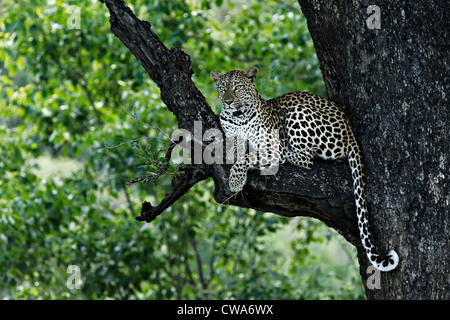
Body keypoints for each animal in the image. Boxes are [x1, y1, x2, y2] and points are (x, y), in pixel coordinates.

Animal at [213, 66, 400, 272]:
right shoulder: (232, 135)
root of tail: (350, 130)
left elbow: (247, 158)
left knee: (307, 158)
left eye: (237, 87)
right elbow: (234, 149)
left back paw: (289, 152)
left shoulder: (271, 147)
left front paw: (236, 180)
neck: (238, 118)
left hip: (298, 113)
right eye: (222, 88)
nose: (228, 102)